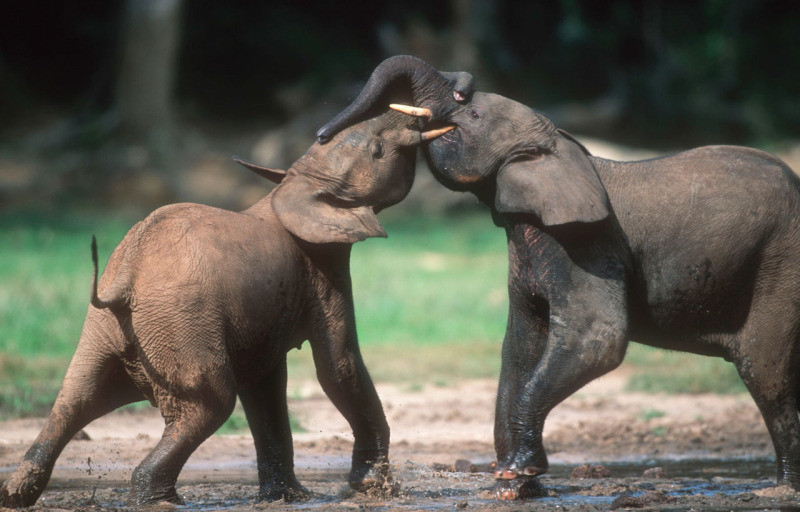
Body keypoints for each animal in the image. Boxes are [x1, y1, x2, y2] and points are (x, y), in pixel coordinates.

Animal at [0, 109, 454, 508]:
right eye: (378, 149)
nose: (421, 116)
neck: (289, 188)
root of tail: (126, 277)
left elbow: (265, 385)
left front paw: (289, 499)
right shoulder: (323, 272)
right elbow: (338, 368)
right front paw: (373, 489)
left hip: (108, 328)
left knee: (74, 399)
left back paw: (16, 496)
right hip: (178, 321)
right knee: (210, 404)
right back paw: (159, 501)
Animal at [318, 55, 800, 496]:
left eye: (473, 117)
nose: (321, 135)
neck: (559, 149)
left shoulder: (586, 243)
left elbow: (598, 340)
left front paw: (516, 474)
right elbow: (520, 346)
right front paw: (514, 487)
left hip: (780, 265)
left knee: (765, 371)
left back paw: (780, 489)